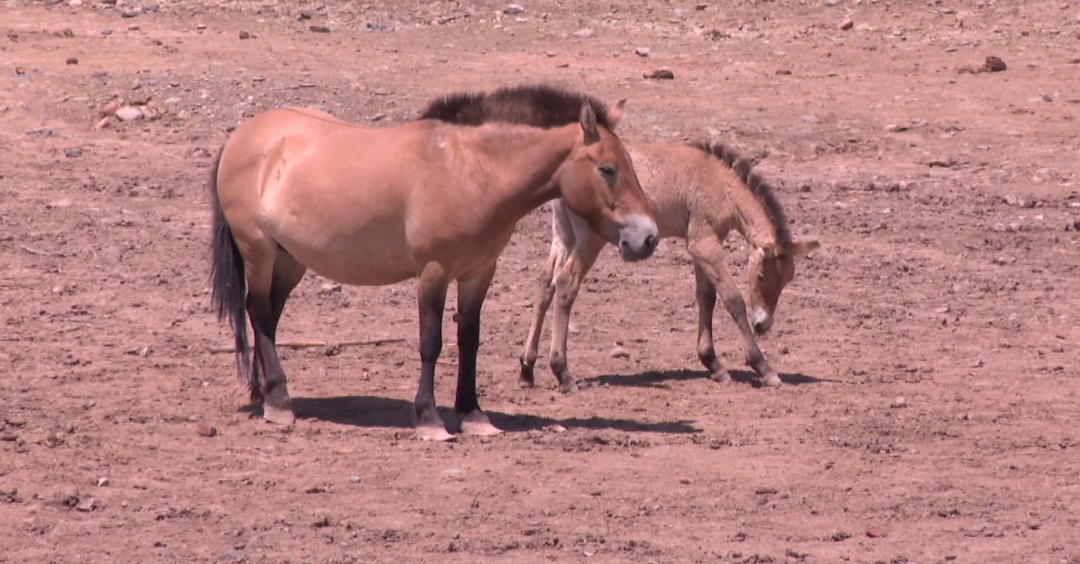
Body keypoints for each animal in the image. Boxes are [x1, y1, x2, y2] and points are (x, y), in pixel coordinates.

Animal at [204, 85, 656, 438]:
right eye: (607, 169)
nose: (647, 237)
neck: (468, 171)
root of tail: (241, 137)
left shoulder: (478, 273)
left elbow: (469, 340)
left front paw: (473, 415)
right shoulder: (432, 273)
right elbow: (431, 343)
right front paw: (429, 419)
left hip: (290, 259)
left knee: (268, 316)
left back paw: (264, 393)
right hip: (259, 251)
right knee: (259, 312)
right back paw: (279, 402)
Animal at [516, 139, 816, 391]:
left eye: (788, 279)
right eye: (762, 276)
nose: (764, 324)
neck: (721, 182)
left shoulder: (700, 245)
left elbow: (706, 298)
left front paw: (713, 364)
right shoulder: (705, 244)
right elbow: (733, 299)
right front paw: (764, 368)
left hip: (564, 235)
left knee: (545, 285)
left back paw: (527, 369)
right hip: (590, 240)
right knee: (566, 285)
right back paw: (562, 372)